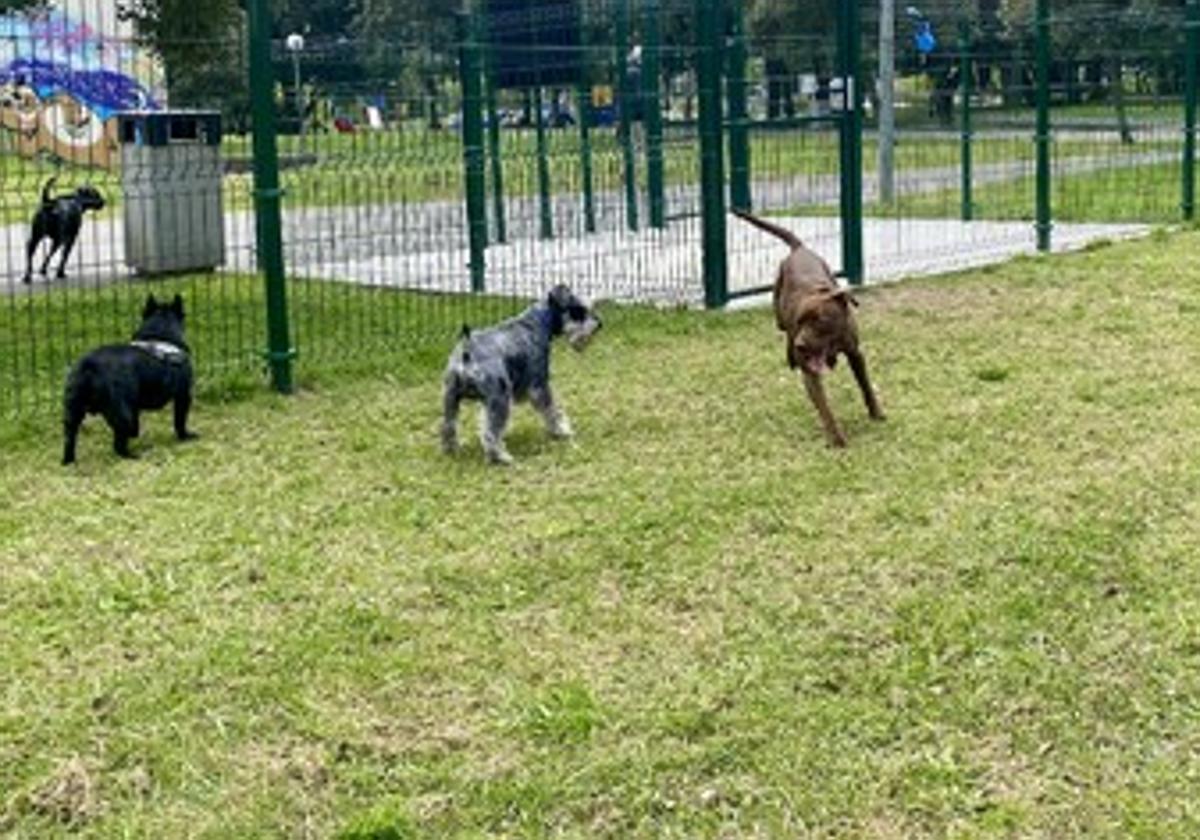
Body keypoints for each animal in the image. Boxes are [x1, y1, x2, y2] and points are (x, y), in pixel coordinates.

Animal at [444, 285, 600, 463]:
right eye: (579, 309)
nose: (599, 324)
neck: (537, 322)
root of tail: (467, 352)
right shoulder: (539, 386)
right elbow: (551, 410)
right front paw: (561, 431)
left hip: (451, 398)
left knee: (448, 426)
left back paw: (451, 449)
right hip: (500, 398)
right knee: (491, 432)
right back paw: (501, 456)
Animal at [729, 208, 883, 446]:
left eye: (820, 320)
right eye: (799, 321)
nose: (800, 345)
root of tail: (799, 248)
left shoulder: (856, 354)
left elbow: (865, 385)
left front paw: (876, 413)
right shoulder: (808, 367)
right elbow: (824, 407)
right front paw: (837, 439)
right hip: (779, 315)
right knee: (783, 332)